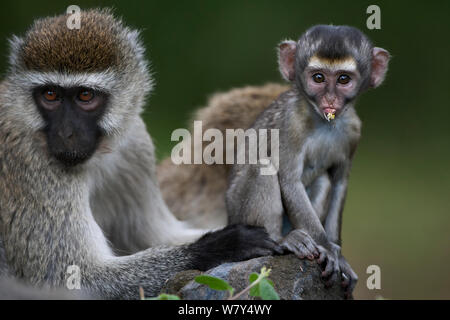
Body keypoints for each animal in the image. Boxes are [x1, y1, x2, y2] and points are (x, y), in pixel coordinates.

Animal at [225, 24, 390, 296]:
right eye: (319, 78)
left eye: (343, 79)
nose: (330, 100)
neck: (324, 123)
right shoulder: (291, 124)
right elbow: (289, 181)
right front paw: (329, 249)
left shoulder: (354, 132)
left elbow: (339, 183)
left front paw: (338, 252)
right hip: (238, 213)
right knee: (262, 166)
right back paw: (281, 240)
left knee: (324, 180)